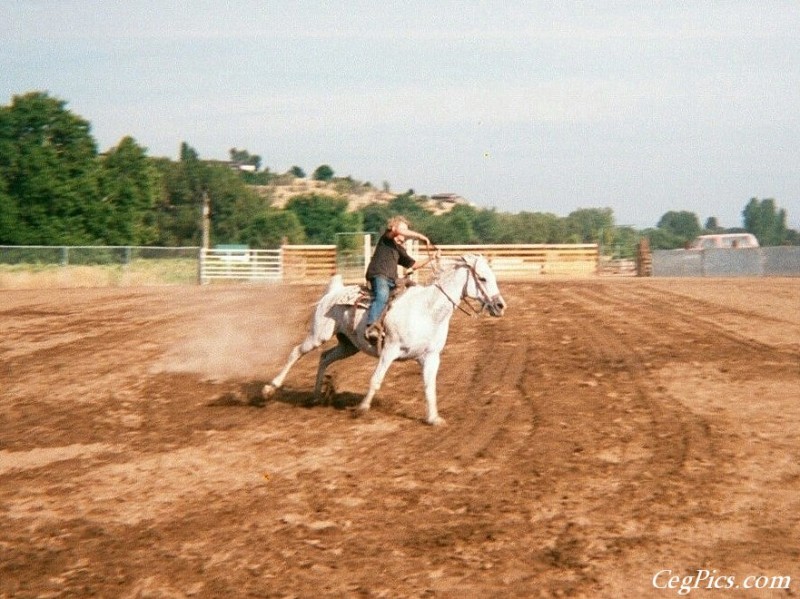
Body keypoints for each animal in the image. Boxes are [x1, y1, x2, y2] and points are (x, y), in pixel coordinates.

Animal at [262, 253, 506, 426]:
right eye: (483, 278)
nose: (500, 306)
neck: (427, 310)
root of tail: (333, 292)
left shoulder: (431, 357)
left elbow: (430, 387)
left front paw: (434, 418)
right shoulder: (390, 350)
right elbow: (376, 380)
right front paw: (361, 409)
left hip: (348, 345)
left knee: (324, 357)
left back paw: (315, 396)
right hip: (318, 334)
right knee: (296, 352)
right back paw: (269, 389)